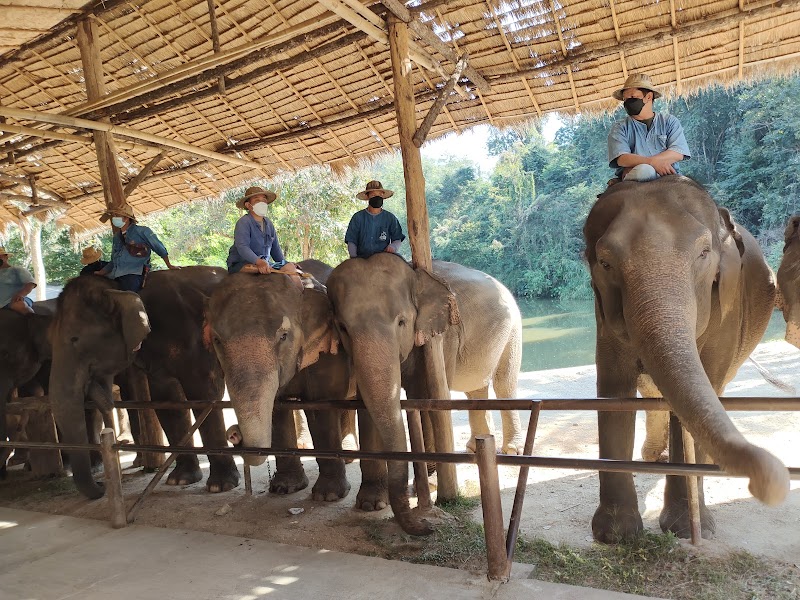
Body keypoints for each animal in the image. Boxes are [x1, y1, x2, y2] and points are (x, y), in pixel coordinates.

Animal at [49, 266, 239, 499]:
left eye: (75, 339)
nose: (101, 485)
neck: (120, 287)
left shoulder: (194, 339)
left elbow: (205, 395)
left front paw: (221, 486)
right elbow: (167, 402)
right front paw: (180, 479)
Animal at [204, 262, 352, 503]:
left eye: (283, 336)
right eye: (216, 340)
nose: (234, 433)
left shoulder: (327, 351)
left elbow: (321, 407)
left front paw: (328, 496)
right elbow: (278, 409)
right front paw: (285, 488)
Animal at [325, 253, 525, 535]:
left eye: (402, 322)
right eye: (342, 328)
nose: (427, 527)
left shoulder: (444, 336)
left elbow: (427, 393)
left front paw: (431, 483)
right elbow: (369, 403)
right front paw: (371, 504)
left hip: (513, 330)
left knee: (504, 383)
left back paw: (511, 450)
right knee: (476, 388)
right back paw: (474, 447)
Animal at [584, 175, 789, 543]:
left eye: (704, 254)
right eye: (605, 264)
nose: (771, 483)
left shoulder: (727, 309)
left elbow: (704, 386)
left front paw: (687, 530)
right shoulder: (602, 317)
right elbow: (613, 390)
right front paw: (615, 535)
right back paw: (654, 457)